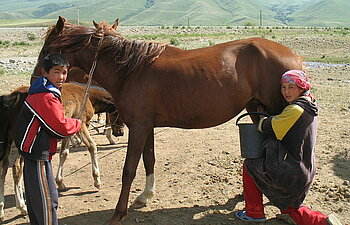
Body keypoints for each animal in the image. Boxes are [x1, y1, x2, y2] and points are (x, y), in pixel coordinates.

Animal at [0, 82, 124, 221]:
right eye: (119, 114)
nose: (120, 133)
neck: (88, 95)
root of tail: (13, 98)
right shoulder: (81, 123)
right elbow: (92, 146)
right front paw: (97, 180)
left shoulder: (67, 127)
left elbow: (64, 153)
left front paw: (60, 182)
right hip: (23, 141)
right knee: (16, 168)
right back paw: (22, 206)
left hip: (8, 139)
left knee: (3, 167)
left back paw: (2, 210)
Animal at [32, 16, 304, 224]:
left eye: (46, 50)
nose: (37, 79)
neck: (129, 70)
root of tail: (293, 56)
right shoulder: (146, 127)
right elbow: (149, 160)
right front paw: (145, 196)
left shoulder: (138, 127)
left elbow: (129, 170)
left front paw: (119, 213)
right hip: (258, 111)